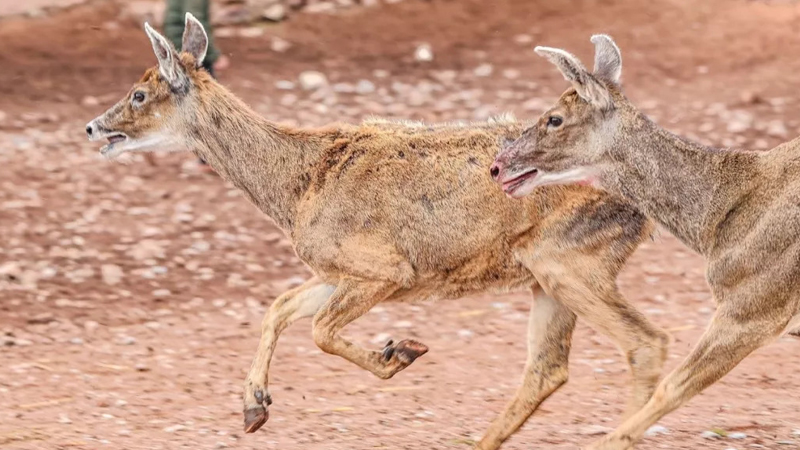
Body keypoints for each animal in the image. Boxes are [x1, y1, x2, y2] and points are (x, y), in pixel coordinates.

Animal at [84, 15, 672, 448]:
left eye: (139, 94)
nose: (92, 126)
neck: (298, 186)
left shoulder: (387, 268)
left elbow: (319, 330)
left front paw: (400, 351)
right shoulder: (331, 268)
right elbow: (279, 307)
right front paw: (254, 408)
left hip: (569, 258)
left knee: (646, 343)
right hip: (546, 275)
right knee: (548, 369)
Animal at [490, 33, 800, 448]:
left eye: (554, 118)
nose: (497, 167)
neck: (716, 218)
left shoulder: (755, 304)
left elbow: (672, 387)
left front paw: (610, 441)